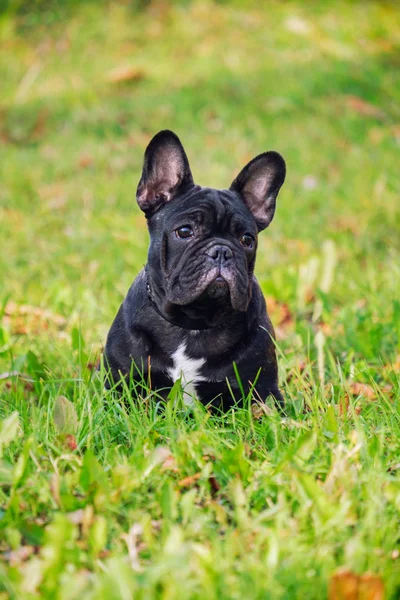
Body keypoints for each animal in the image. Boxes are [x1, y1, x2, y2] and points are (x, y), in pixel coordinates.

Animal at [103, 130, 284, 412]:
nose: (222, 250)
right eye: (185, 231)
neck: (194, 322)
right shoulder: (120, 387)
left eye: (247, 239)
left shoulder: (265, 392)